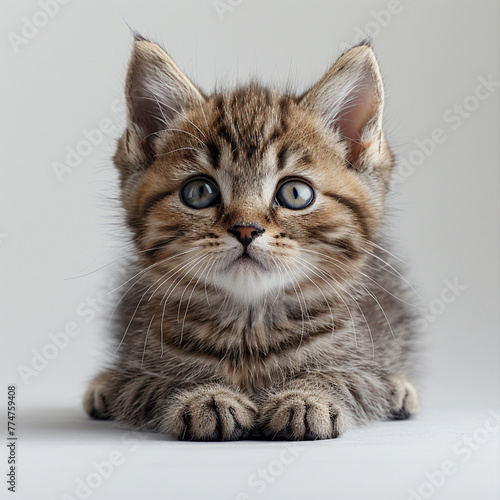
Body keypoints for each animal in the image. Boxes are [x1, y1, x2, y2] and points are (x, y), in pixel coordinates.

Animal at [85, 36, 418, 442]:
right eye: (199, 192)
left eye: (295, 194)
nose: (246, 229)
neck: (250, 326)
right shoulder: (137, 374)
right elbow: (158, 382)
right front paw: (206, 397)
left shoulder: (367, 363)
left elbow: (351, 379)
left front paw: (307, 398)